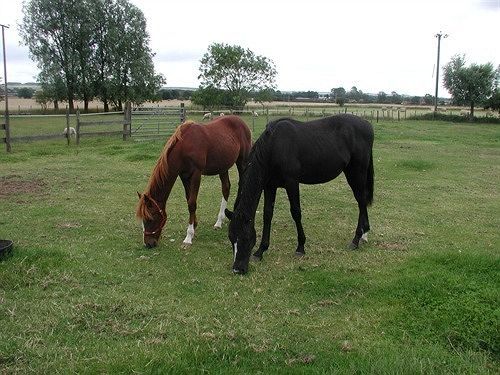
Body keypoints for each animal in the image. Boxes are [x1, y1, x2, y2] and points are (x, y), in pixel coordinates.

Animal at [137, 116, 252, 248]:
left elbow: (192, 203)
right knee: (226, 188)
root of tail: (242, 122)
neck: (184, 147)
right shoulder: (184, 176)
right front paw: (194, 225)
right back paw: (219, 221)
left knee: (242, 185)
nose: (148, 243)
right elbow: (189, 199)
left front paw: (189, 236)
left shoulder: (196, 174)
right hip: (223, 167)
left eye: (151, 218)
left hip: (242, 161)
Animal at [225, 113, 374, 274]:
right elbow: (267, 215)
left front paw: (300, 247)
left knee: (361, 200)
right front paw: (260, 251)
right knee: (362, 201)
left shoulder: (292, 183)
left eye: (245, 238)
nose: (237, 269)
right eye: (231, 238)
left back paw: (356, 239)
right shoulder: (270, 186)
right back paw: (364, 233)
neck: (274, 147)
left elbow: (296, 212)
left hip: (357, 172)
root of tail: (367, 125)